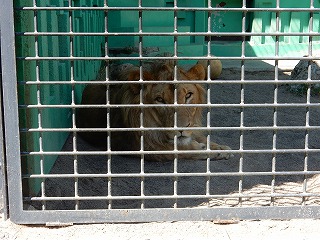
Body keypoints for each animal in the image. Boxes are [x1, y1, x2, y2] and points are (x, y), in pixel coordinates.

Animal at [77, 61, 232, 161]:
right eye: (160, 99)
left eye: (188, 95)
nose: (182, 128)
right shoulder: (131, 145)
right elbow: (179, 150)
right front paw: (203, 149)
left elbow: (201, 138)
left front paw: (220, 148)